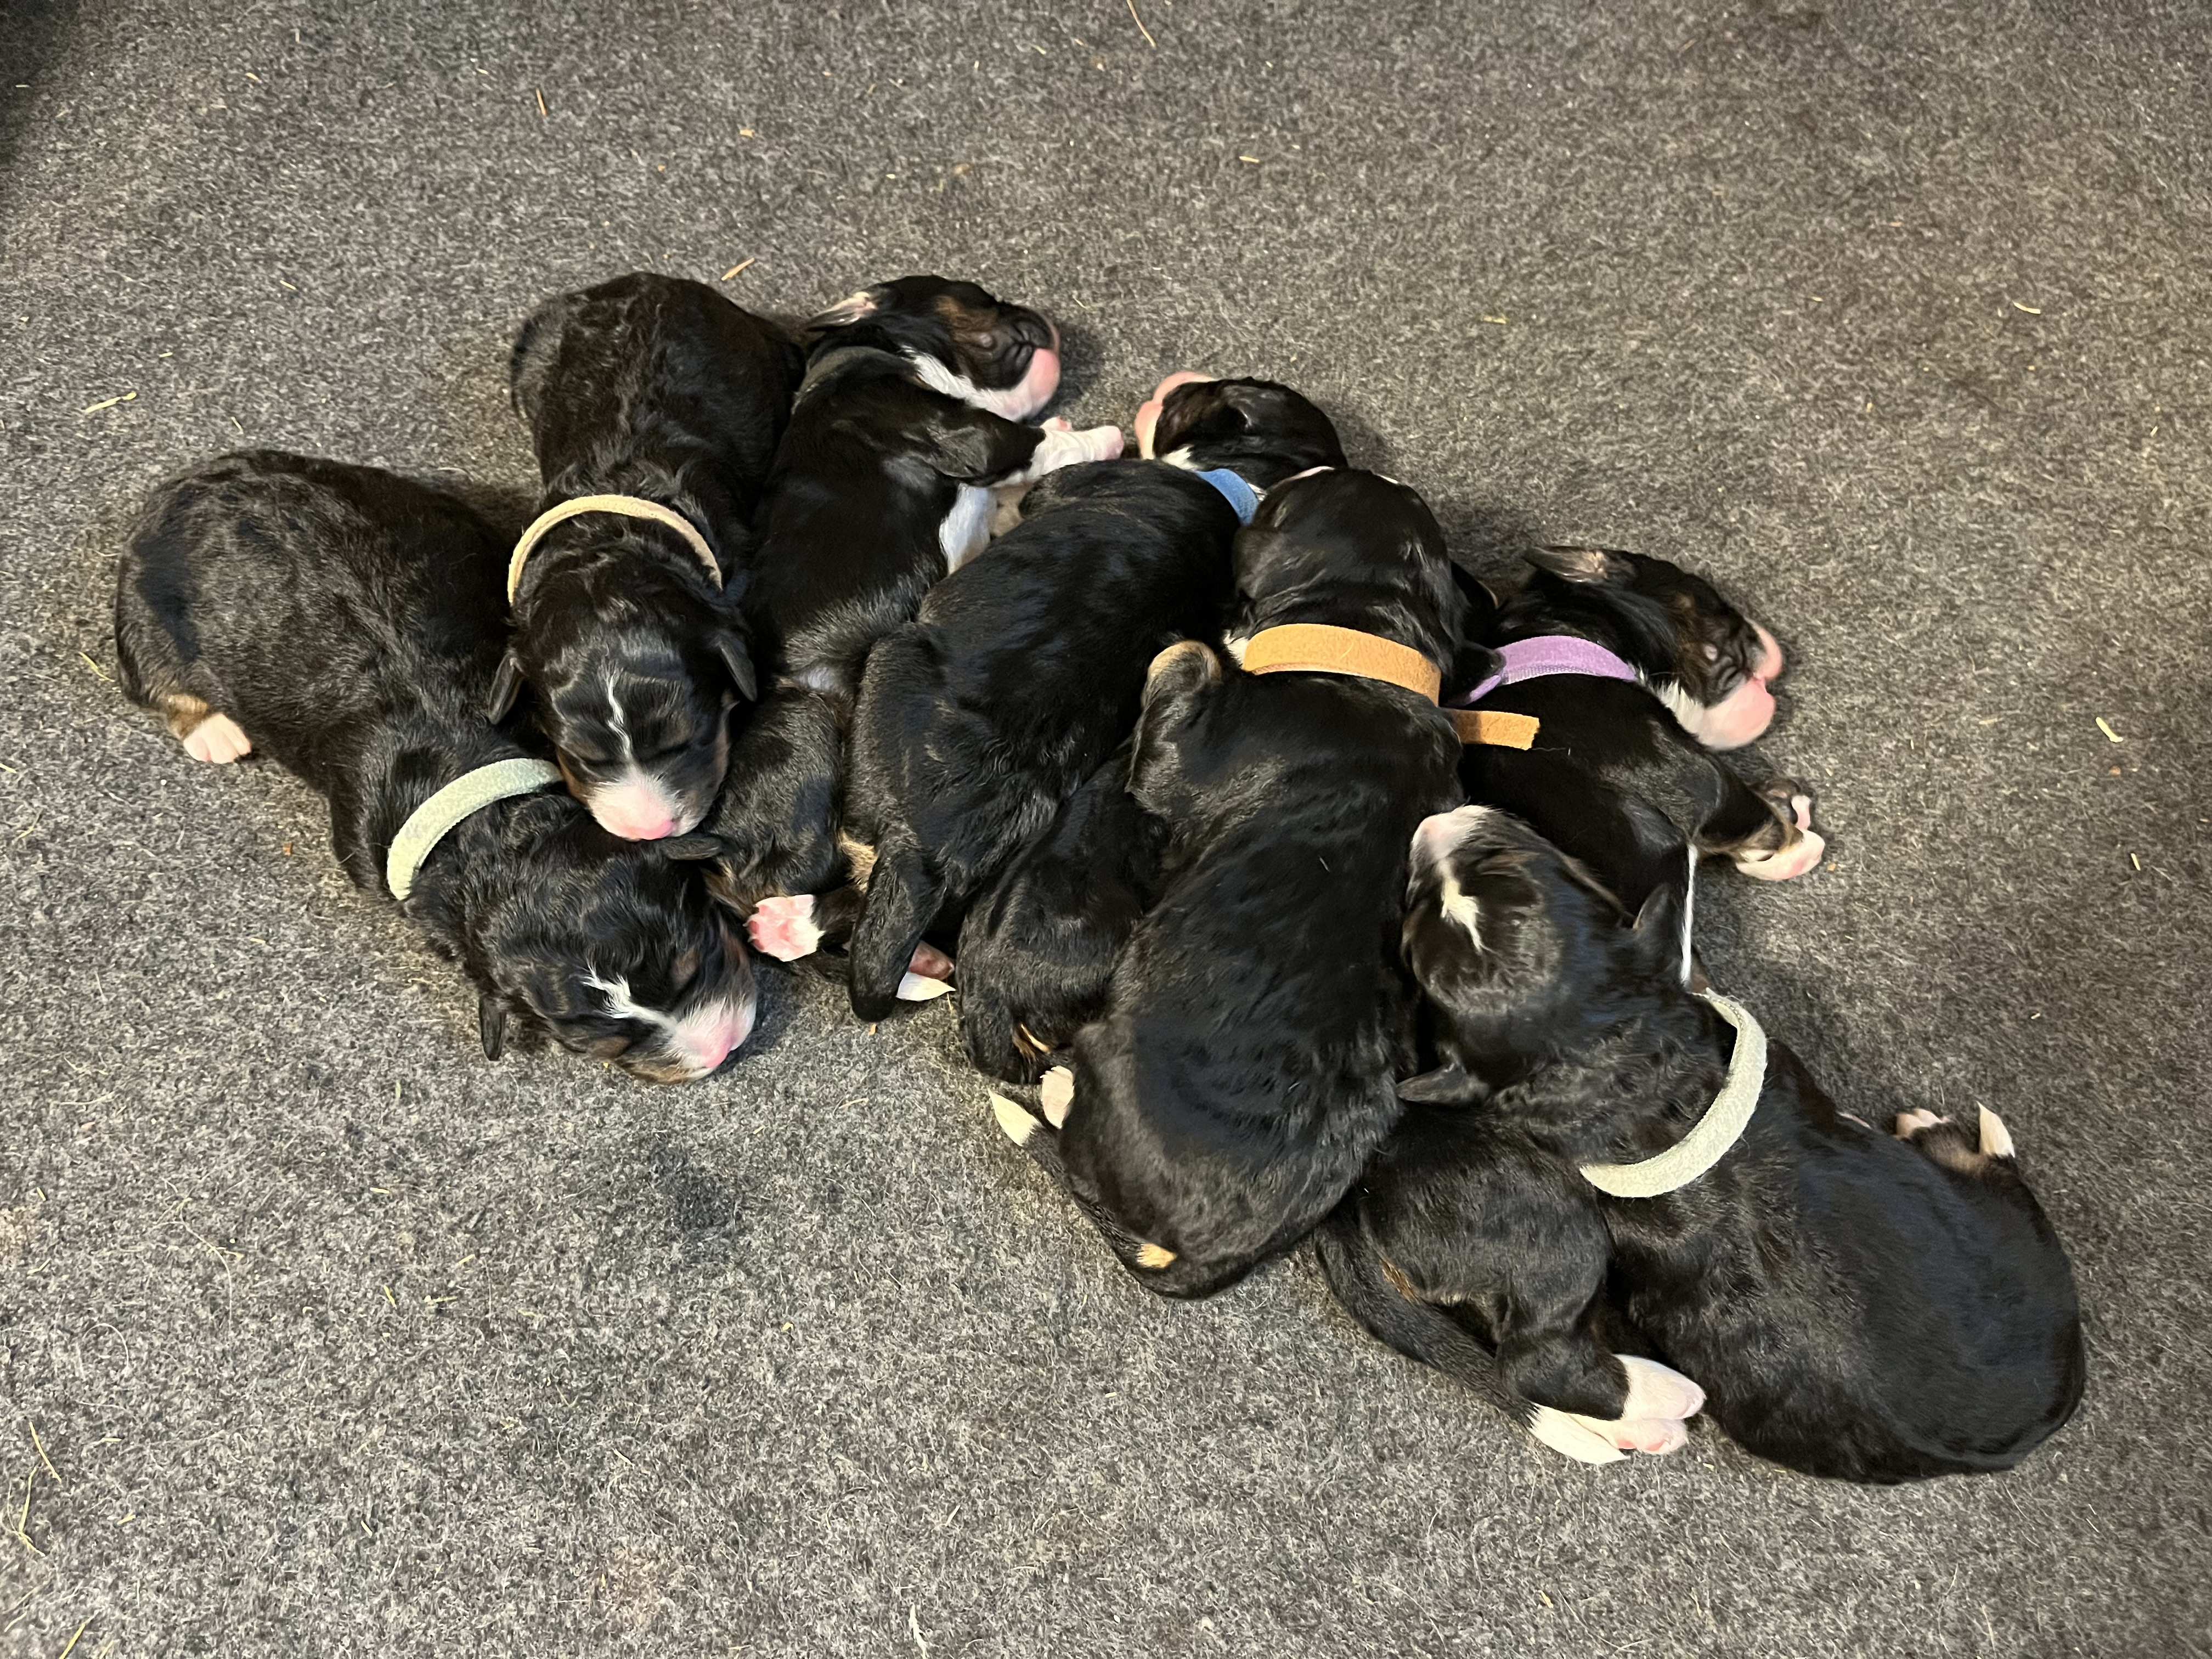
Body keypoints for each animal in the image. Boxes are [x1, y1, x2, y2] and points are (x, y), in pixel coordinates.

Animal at [114, 450, 757, 1081]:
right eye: (600, 1046)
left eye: (689, 960)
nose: (720, 1048)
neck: (481, 825)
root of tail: (177, 492)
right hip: (141, 616)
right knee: (150, 683)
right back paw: (216, 733)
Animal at [675, 274, 1123, 922]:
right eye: (981, 295)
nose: (1042, 319)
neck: (881, 348)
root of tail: (715, 848)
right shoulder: (971, 435)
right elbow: (1035, 443)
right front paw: (1095, 437)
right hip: (809, 719)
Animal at [991, 467, 1468, 1298]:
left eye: (1278, 507)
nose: (1277, 480)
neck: (1370, 656)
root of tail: (1207, 1251)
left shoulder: (1181, 748)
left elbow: (1186, 652)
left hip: (1103, 1055)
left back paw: (1055, 1094)